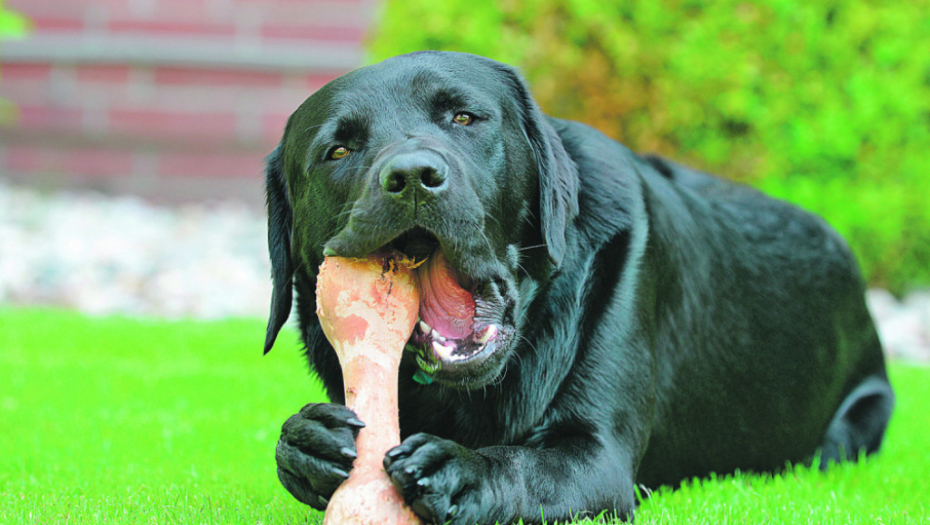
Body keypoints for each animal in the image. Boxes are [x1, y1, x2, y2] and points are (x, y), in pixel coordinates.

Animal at [260, 51, 892, 520]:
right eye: (338, 150)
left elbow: (521, 463)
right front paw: (307, 441)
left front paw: (461, 469)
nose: (412, 176)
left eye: (463, 118)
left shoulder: (597, 458)